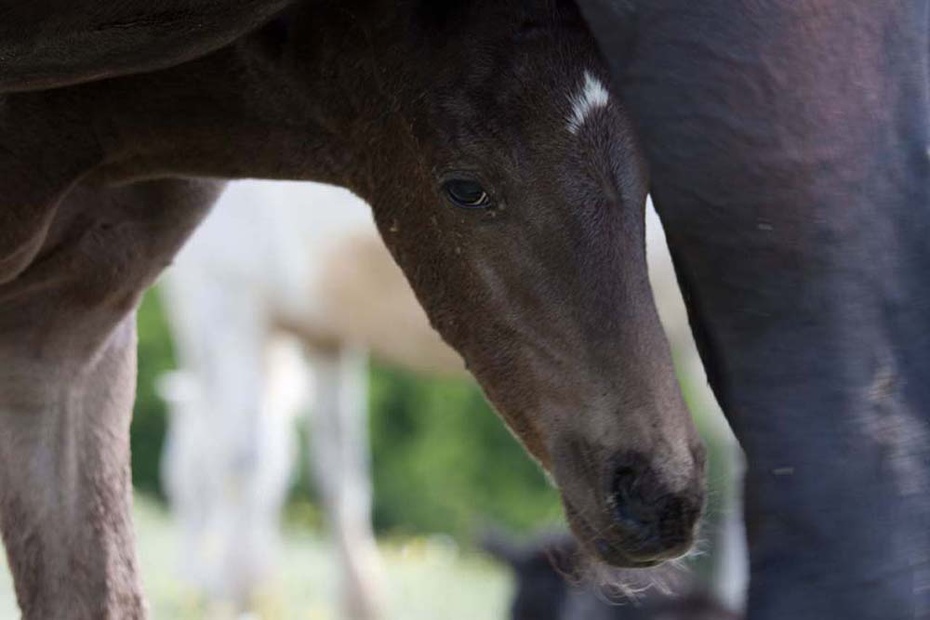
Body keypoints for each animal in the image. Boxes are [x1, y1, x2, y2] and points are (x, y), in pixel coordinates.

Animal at [154, 179, 748, 620]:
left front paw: (241, 595)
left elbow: (240, 460)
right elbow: (338, 472)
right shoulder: (324, 332)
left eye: (177, 490)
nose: (188, 592)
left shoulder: (224, 292)